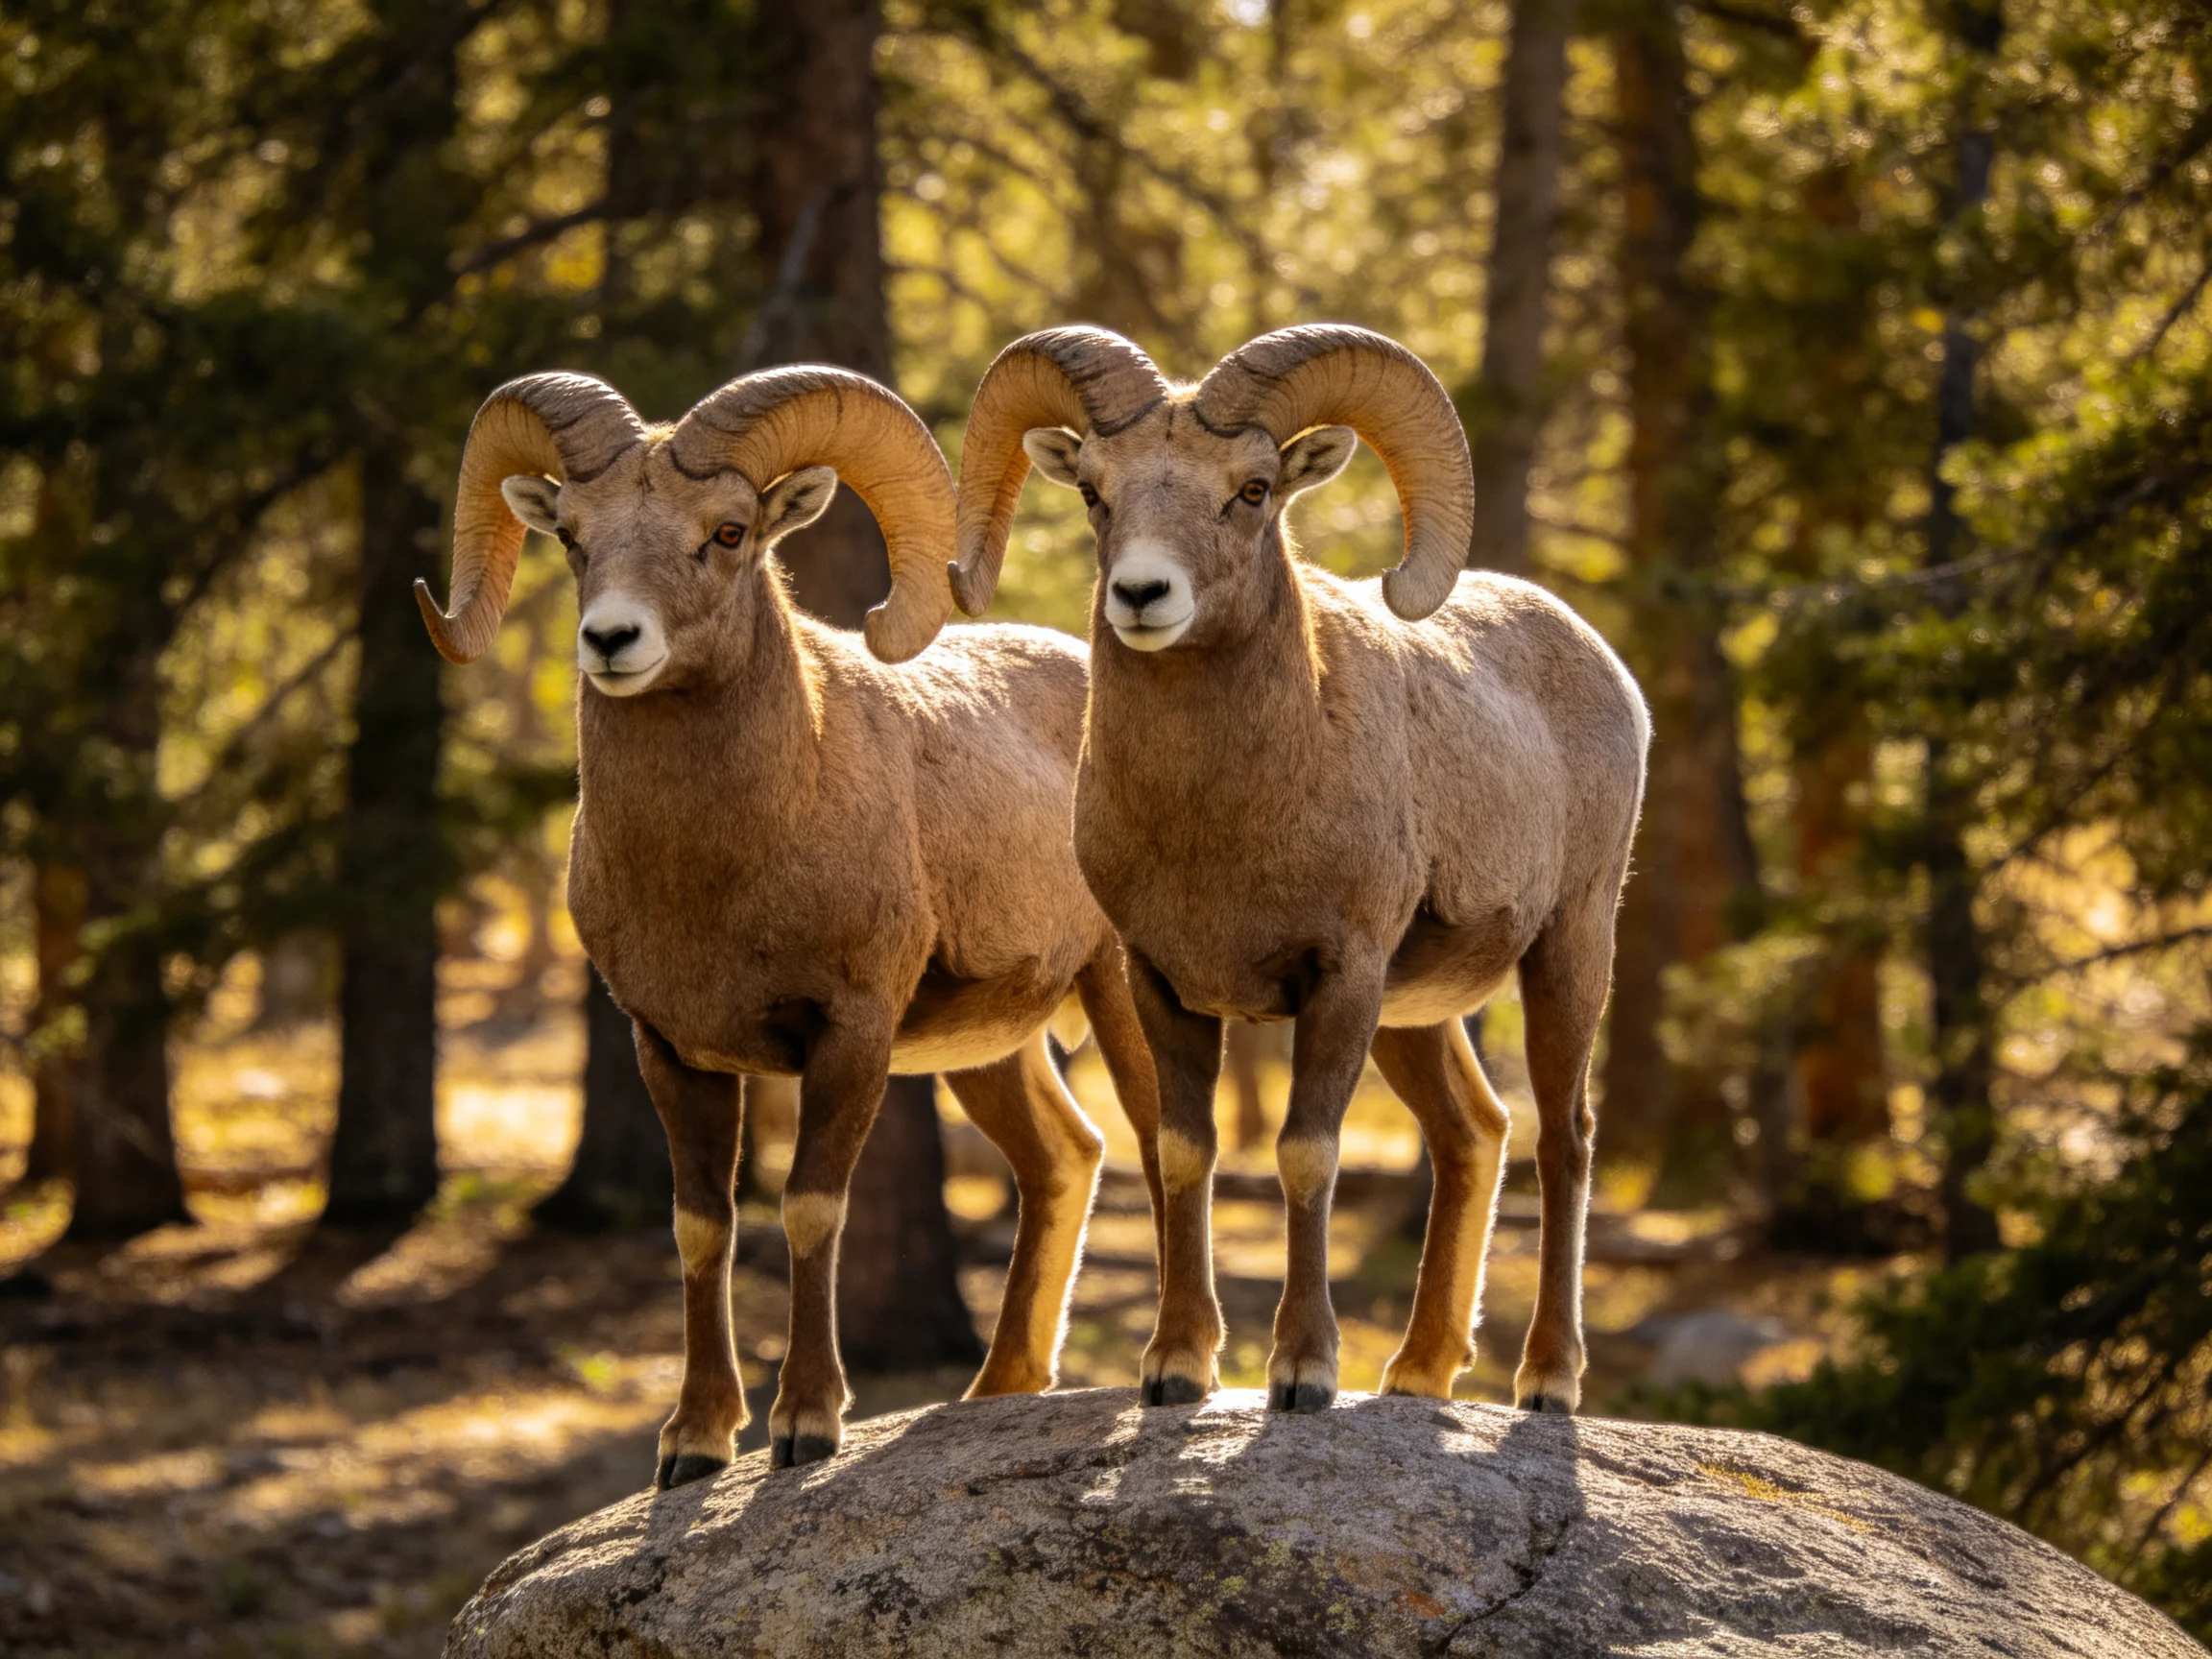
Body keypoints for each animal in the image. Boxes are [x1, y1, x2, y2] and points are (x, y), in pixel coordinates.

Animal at [416, 365, 1164, 1484]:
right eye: (575, 536)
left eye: (728, 533)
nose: (610, 642)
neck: (721, 872)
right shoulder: (670, 1050)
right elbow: (702, 1228)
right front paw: (692, 1442)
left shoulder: (847, 1035)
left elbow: (811, 1208)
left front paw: (805, 1425)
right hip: (988, 1050)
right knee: (1063, 1158)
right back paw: (996, 1389)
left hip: (1118, 993)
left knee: (1166, 1140)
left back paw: (1179, 1366)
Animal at [948, 324, 1649, 1417]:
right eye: (1096, 492)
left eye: (1253, 489)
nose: (1142, 594)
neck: (1221, 823)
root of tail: (1607, 669)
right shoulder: (1160, 982)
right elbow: (1183, 1150)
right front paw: (1176, 1367)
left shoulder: (1340, 978)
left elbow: (1306, 1154)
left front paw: (1303, 1372)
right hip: (1415, 1014)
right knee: (1473, 1132)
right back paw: (1417, 1375)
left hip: (1569, 945)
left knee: (1562, 1137)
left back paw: (1547, 1381)